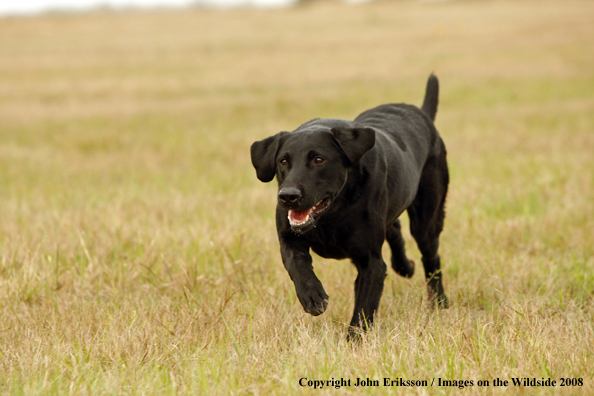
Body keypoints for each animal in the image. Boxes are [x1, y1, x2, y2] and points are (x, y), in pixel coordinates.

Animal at [247, 73, 446, 334]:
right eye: (283, 161)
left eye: (318, 159)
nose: (288, 196)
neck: (332, 215)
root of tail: (422, 113)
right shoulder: (288, 237)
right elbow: (297, 264)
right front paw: (312, 295)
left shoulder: (371, 262)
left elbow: (362, 312)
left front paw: (354, 341)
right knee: (395, 230)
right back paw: (405, 266)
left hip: (426, 220)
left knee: (431, 259)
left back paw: (439, 303)